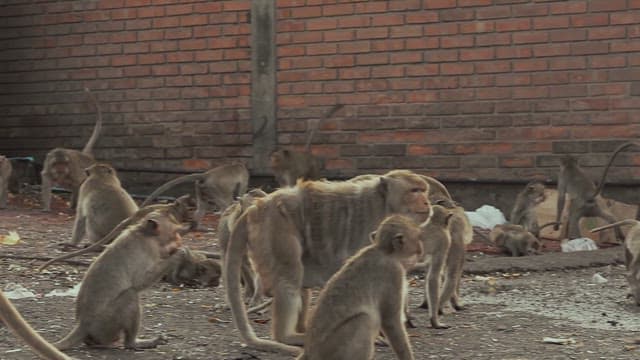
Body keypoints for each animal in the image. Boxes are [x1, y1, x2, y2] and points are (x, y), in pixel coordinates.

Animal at [53, 210, 188, 350]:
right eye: (175, 232)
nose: (179, 240)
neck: (144, 233)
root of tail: (82, 323)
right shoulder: (148, 249)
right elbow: (140, 282)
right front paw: (179, 254)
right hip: (105, 323)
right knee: (130, 294)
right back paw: (133, 343)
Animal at [296, 215, 424, 358]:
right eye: (418, 237)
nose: (421, 248)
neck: (384, 251)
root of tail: (309, 352)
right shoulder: (393, 273)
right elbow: (391, 321)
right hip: (331, 350)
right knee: (364, 320)